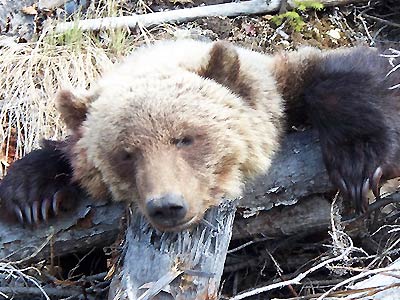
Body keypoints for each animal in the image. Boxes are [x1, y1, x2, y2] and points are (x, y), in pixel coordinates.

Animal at [0, 39, 400, 231]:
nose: (167, 206)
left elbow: (350, 76)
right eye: (125, 154)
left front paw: (358, 164)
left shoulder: (280, 83)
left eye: (186, 138)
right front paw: (33, 195)